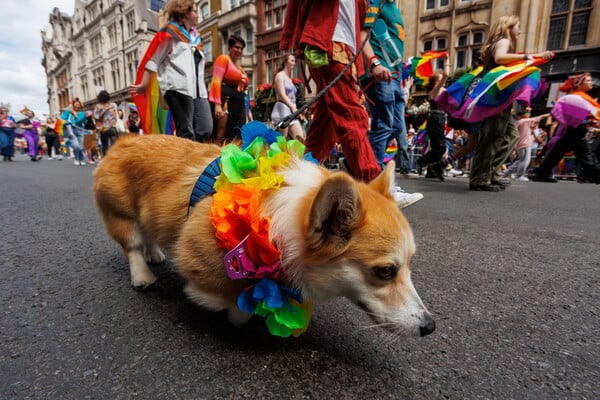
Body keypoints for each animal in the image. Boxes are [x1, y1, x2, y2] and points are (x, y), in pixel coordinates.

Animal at [91, 135, 434, 338]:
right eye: (385, 271)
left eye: (410, 265)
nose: (430, 326)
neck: (280, 220)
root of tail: (123, 139)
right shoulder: (200, 260)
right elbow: (231, 298)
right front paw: (239, 316)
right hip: (120, 213)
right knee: (132, 245)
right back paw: (143, 275)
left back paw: (155, 253)